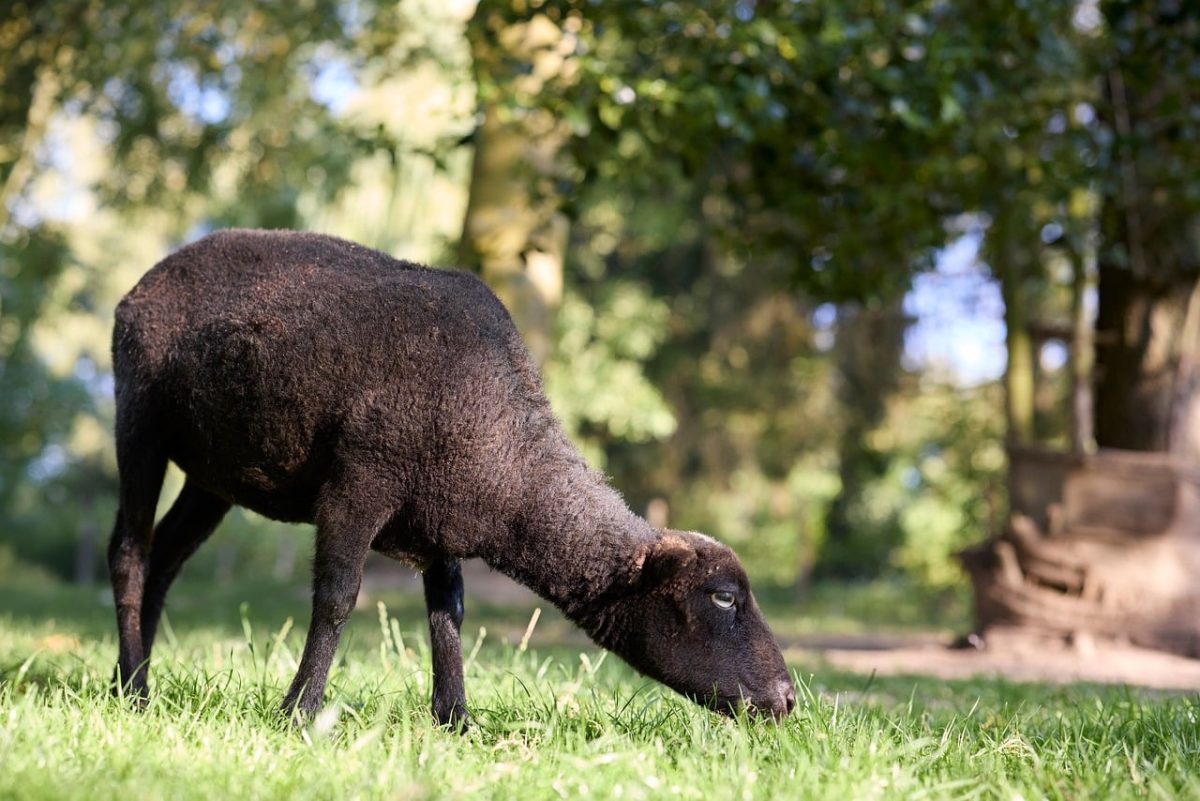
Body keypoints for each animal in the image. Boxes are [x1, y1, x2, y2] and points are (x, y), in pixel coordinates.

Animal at [107, 229, 795, 725]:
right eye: (724, 597)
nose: (789, 698)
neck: (504, 453)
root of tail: (150, 277)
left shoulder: (439, 521)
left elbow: (450, 613)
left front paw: (455, 719)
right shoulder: (360, 483)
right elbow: (337, 597)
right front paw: (298, 711)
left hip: (213, 475)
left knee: (164, 559)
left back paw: (133, 679)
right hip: (140, 419)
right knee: (128, 553)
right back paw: (133, 692)